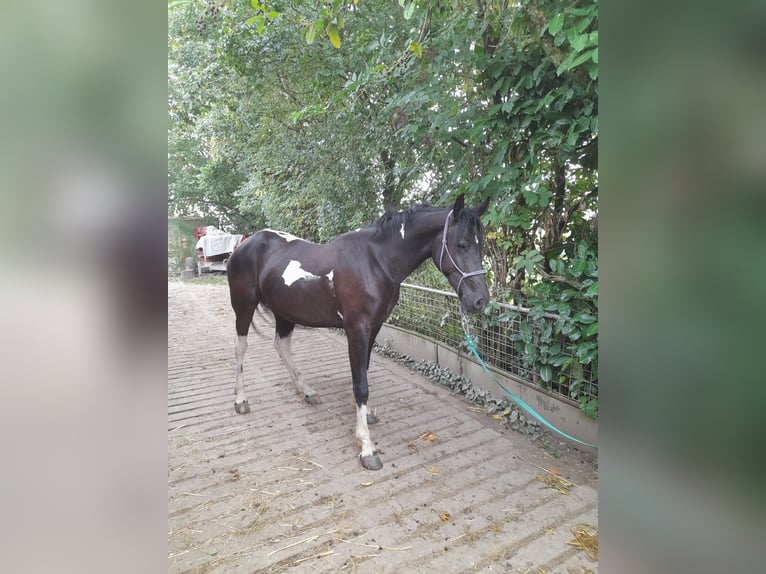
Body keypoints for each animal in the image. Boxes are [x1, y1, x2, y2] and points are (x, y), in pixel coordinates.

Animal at [226, 195, 492, 472]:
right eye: (461, 244)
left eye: (480, 245)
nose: (480, 300)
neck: (375, 262)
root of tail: (244, 244)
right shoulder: (357, 329)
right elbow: (361, 385)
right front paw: (366, 446)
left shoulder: (374, 328)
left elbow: (363, 371)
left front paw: (364, 414)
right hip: (244, 306)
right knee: (240, 348)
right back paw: (241, 400)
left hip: (285, 312)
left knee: (282, 346)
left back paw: (307, 391)